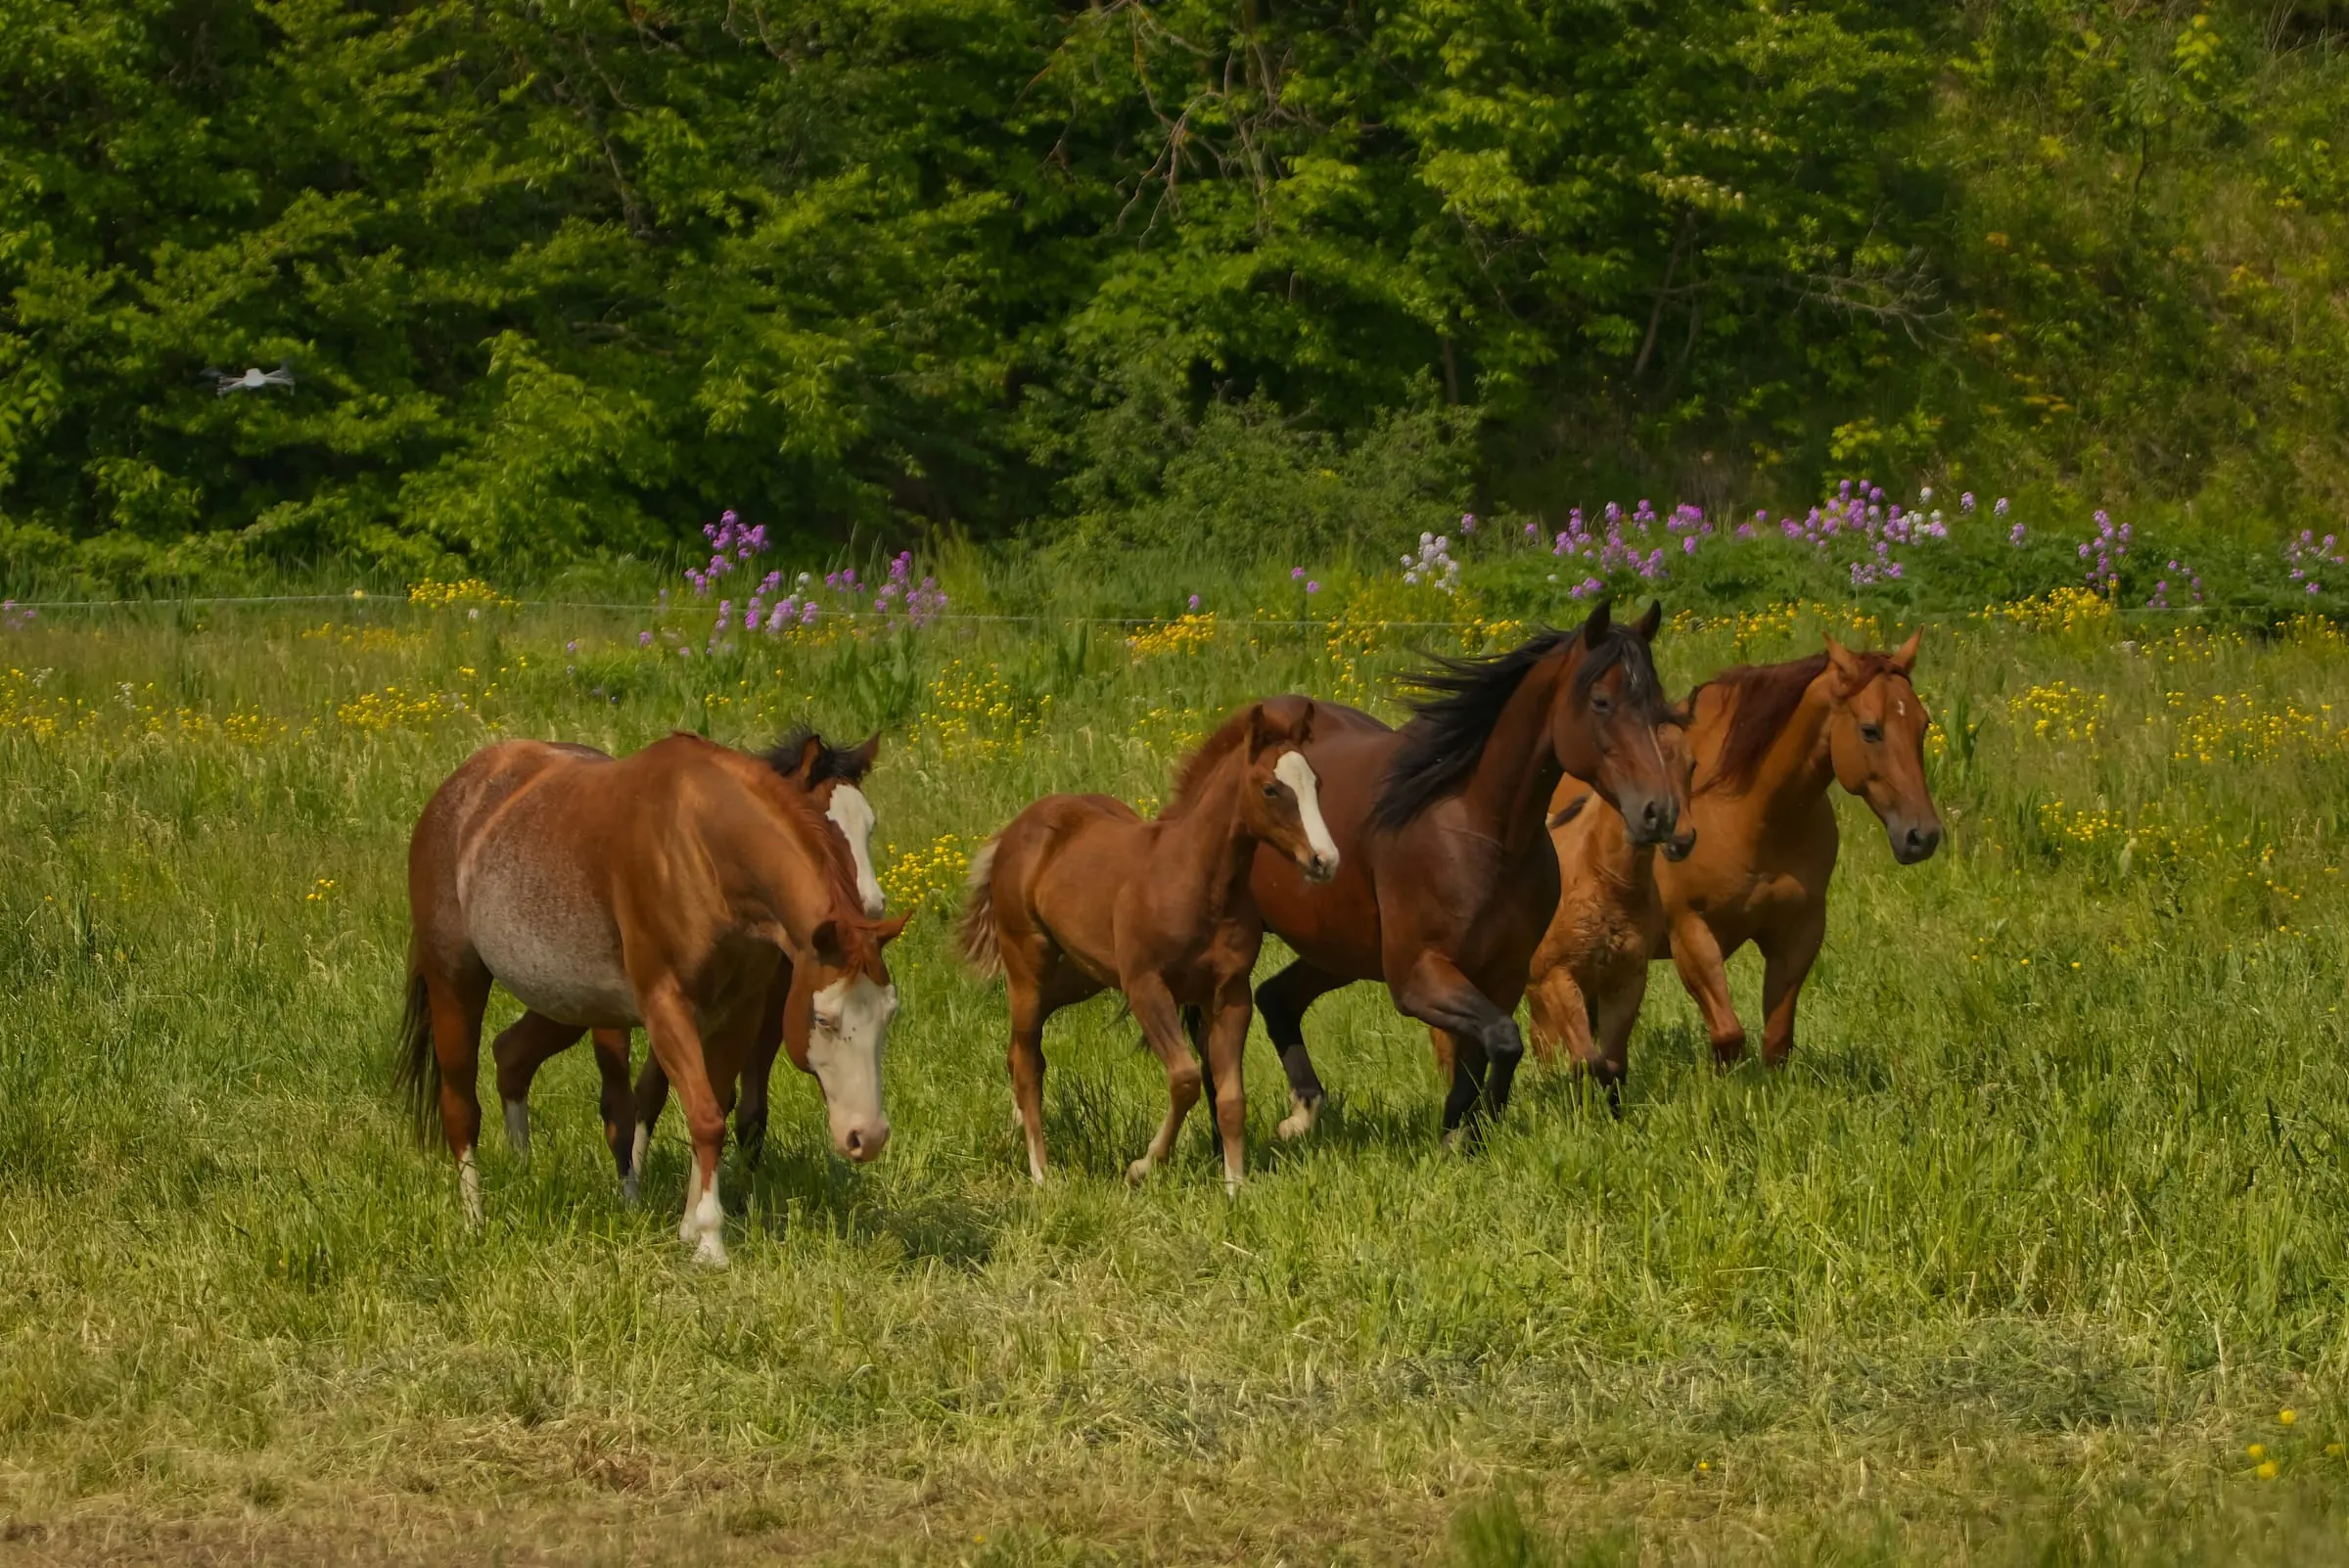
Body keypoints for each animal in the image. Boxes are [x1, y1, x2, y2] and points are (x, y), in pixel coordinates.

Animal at [396, 731, 908, 1265]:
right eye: (824, 1020)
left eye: (888, 1016)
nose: (867, 1137)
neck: (701, 853)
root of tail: (459, 790)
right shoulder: (668, 1008)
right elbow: (702, 1117)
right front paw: (709, 1242)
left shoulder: (739, 1014)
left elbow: (714, 1109)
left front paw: (690, 1226)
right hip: (456, 981)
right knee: (461, 1103)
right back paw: (476, 1218)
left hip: (567, 1001)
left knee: (513, 1056)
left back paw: (524, 1170)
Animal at [958, 698, 1339, 1192]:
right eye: (1271, 789)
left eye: (1316, 783)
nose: (1325, 860)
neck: (1199, 882)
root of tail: (1016, 830)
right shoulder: (1146, 986)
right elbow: (1186, 1079)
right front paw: (1142, 1166)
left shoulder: (1230, 993)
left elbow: (1231, 1097)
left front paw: (1235, 1186)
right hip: (1028, 965)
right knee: (1027, 1060)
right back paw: (1041, 1173)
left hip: (1079, 976)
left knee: (1019, 1050)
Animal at [1244, 600, 1693, 1145]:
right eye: (1602, 701)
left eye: (1656, 705)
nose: (1659, 813)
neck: (1480, 828)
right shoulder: (1419, 978)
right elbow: (1502, 1040)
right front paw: (1462, 1128)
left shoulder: (1502, 974)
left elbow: (1488, 1052)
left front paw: (1469, 1130)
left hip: (1336, 950)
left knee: (1275, 997)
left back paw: (1303, 1114)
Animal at [1525, 632, 1940, 1086]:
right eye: (1870, 730)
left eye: (1923, 724)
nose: (1922, 835)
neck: (1750, 815)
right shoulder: (1690, 931)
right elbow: (1728, 1034)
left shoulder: (1799, 931)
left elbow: (1776, 1040)